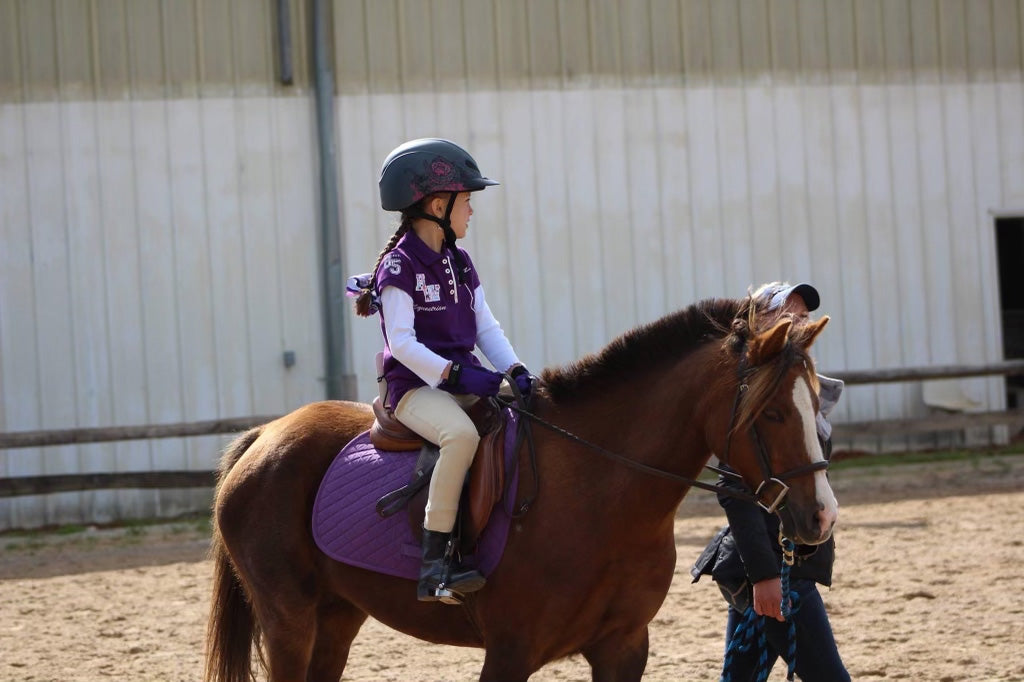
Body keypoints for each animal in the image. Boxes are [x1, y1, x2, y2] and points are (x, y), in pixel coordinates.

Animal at [203, 299, 835, 679]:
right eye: (774, 413)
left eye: (817, 399)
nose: (822, 518)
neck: (601, 497)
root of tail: (266, 435)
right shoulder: (511, 653)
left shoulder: (624, 646)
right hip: (290, 619)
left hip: (337, 616)